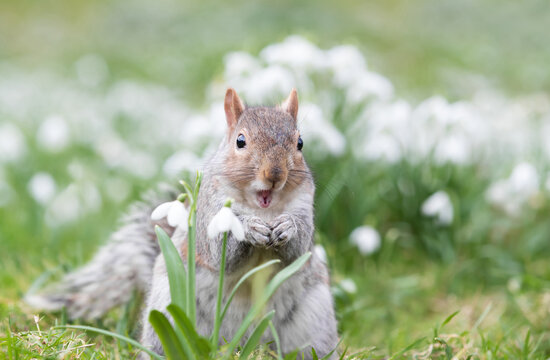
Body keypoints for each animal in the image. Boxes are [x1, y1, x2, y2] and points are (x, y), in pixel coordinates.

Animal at [27, 88, 340, 358]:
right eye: (240, 141)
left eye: (300, 143)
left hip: (314, 319)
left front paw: (288, 227)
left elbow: (297, 251)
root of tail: (238, 342)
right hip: (168, 310)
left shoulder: (304, 207)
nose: (274, 174)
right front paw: (250, 228)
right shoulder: (209, 216)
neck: (263, 208)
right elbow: (220, 254)